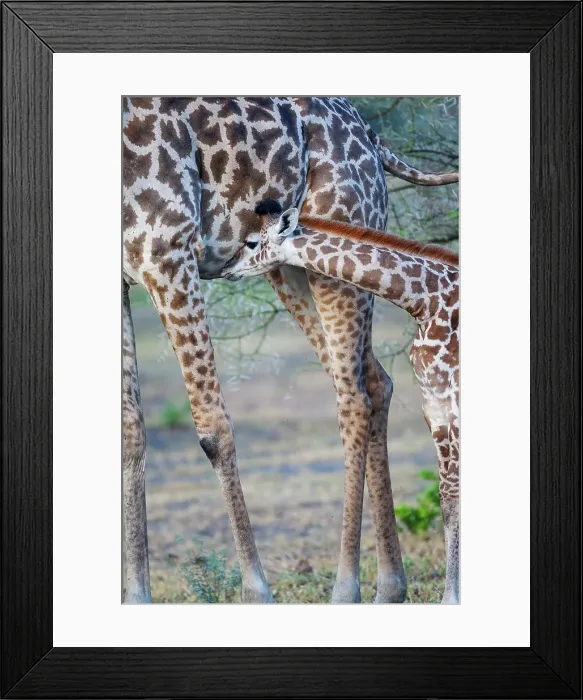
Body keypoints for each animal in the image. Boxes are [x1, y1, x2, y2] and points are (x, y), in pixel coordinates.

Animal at [222, 202, 460, 604]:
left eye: (252, 242)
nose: (226, 268)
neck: (426, 299)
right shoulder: (435, 404)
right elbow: (447, 498)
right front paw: (451, 597)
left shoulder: (454, 397)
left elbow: (454, 495)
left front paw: (452, 598)